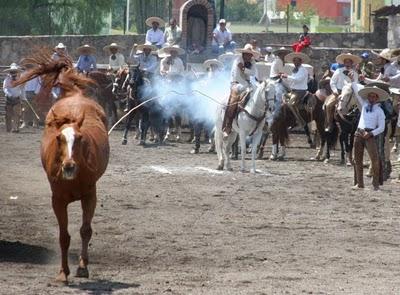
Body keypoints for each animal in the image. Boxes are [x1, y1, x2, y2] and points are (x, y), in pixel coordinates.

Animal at [15, 52, 110, 284]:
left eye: (81, 138)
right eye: (59, 138)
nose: (68, 166)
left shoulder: (90, 195)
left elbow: (85, 231)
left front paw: (82, 267)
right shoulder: (57, 199)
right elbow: (63, 236)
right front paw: (62, 273)